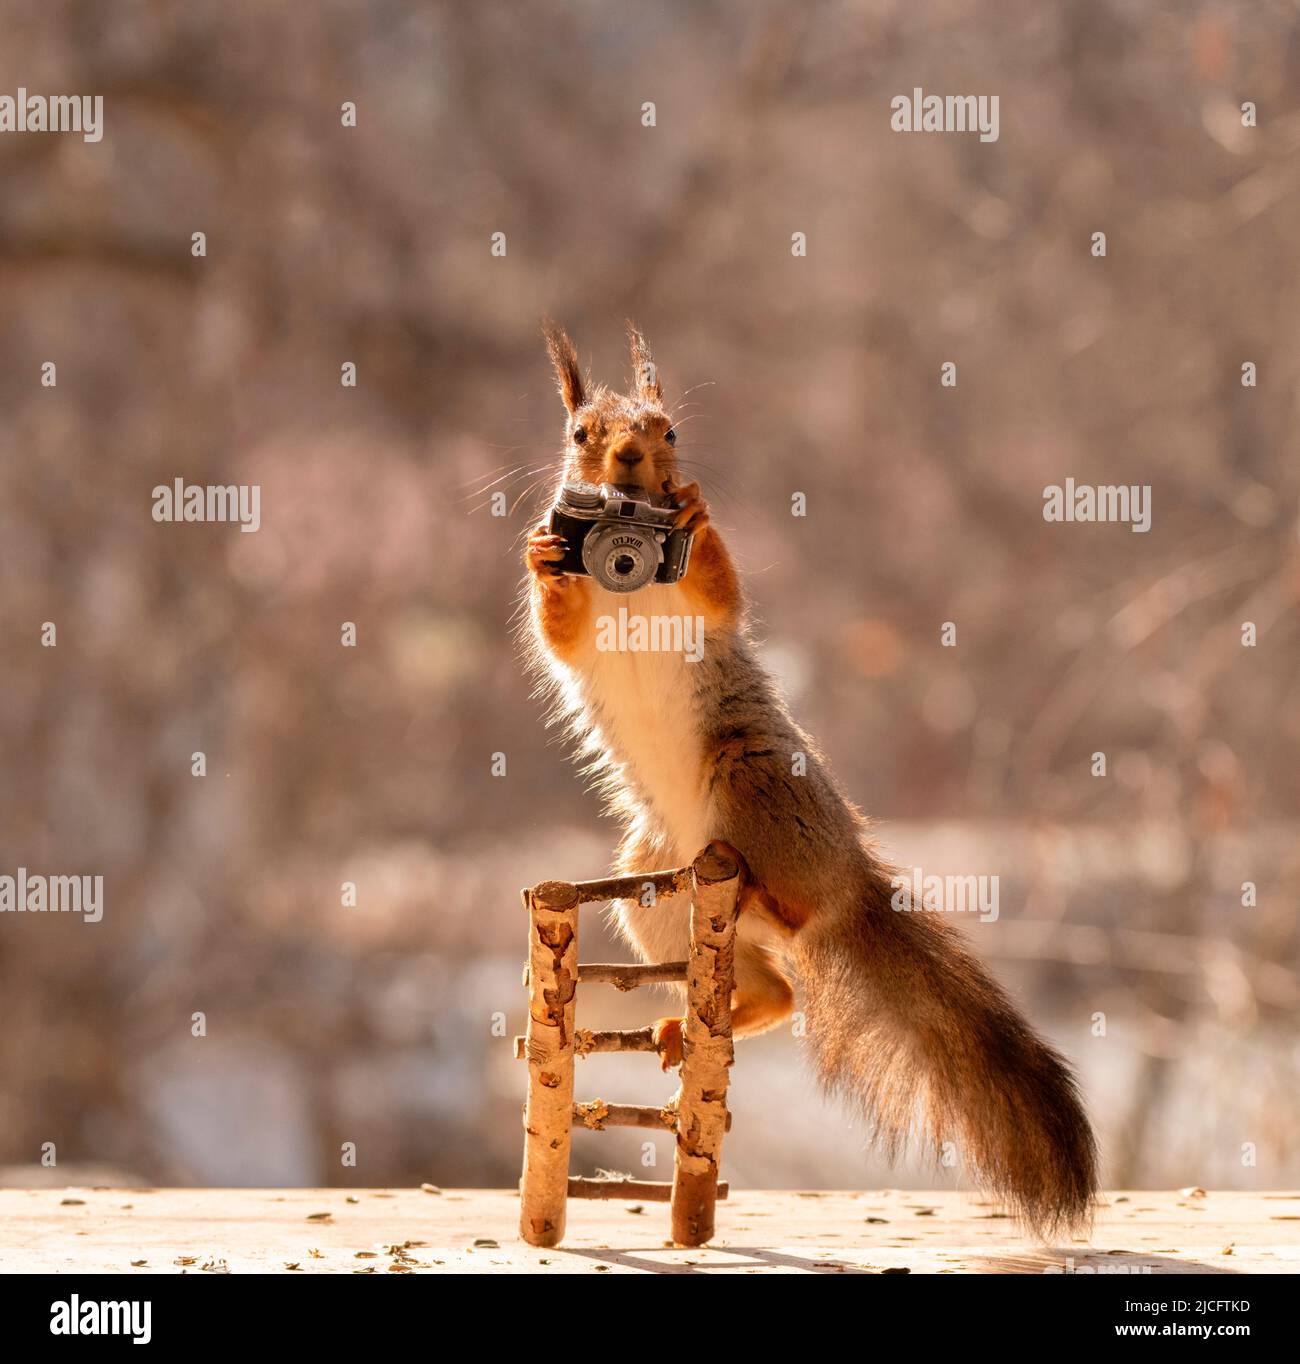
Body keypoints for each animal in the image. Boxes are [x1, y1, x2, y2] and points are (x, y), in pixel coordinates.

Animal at [518, 321, 1096, 1238]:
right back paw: (700, 1018)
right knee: (778, 990)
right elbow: (560, 629)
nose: (633, 460)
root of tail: (848, 880)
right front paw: (544, 553)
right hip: (659, 883)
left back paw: (770, 896)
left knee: (792, 922)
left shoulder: (709, 607)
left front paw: (697, 512)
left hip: (753, 783)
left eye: (669, 430)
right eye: (580, 434)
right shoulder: (573, 622)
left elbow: (719, 587)